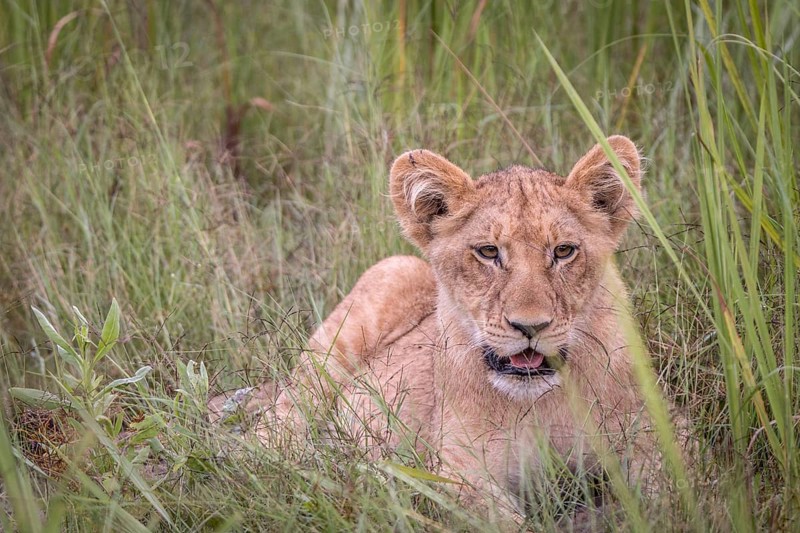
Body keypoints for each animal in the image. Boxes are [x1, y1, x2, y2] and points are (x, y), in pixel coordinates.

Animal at [211, 135, 667, 520]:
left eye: (564, 251)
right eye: (488, 252)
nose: (530, 326)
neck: (540, 402)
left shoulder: (655, 439)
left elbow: (670, 496)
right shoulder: (455, 470)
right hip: (382, 283)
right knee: (270, 439)